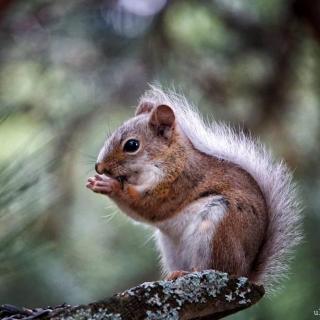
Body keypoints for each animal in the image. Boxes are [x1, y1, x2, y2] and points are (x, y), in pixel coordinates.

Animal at [86, 86, 302, 294]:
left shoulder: (177, 183)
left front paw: (110, 186)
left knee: (216, 268)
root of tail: (245, 274)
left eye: (132, 145)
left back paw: (190, 273)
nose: (99, 167)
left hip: (217, 230)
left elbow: (149, 207)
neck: (169, 159)